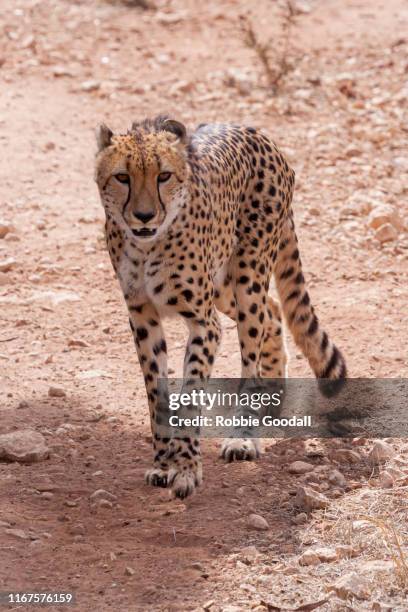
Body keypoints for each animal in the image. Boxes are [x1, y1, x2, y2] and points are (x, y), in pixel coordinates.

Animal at [94, 115, 346, 498]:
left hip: (248, 275)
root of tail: (253, 130)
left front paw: (185, 468)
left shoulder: (204, 322)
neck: (148, 246)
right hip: (224, 285)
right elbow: (156, 393)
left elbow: (190, 394)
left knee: (253, 346)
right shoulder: (142, 317)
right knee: (273, 311)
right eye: (122, 177)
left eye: (163, 176)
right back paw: (271, 400)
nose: (144, 215)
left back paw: (244, 436)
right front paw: (162, 463)